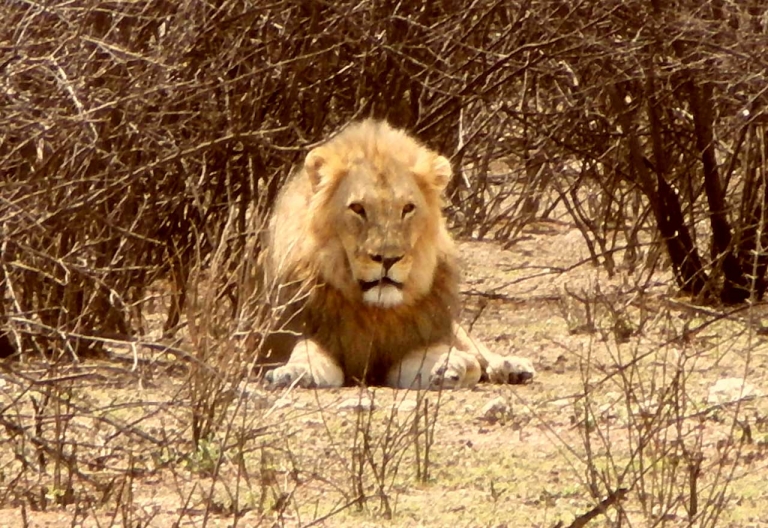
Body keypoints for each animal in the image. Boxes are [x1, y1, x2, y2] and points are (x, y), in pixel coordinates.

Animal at [259, 119, 535, 390]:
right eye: (357, 208)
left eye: (408, 208)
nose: (388, 259)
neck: (375, 312)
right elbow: (307, 351)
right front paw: (296, 371)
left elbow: (437, 357)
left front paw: (449, 366)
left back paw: (511, 367)